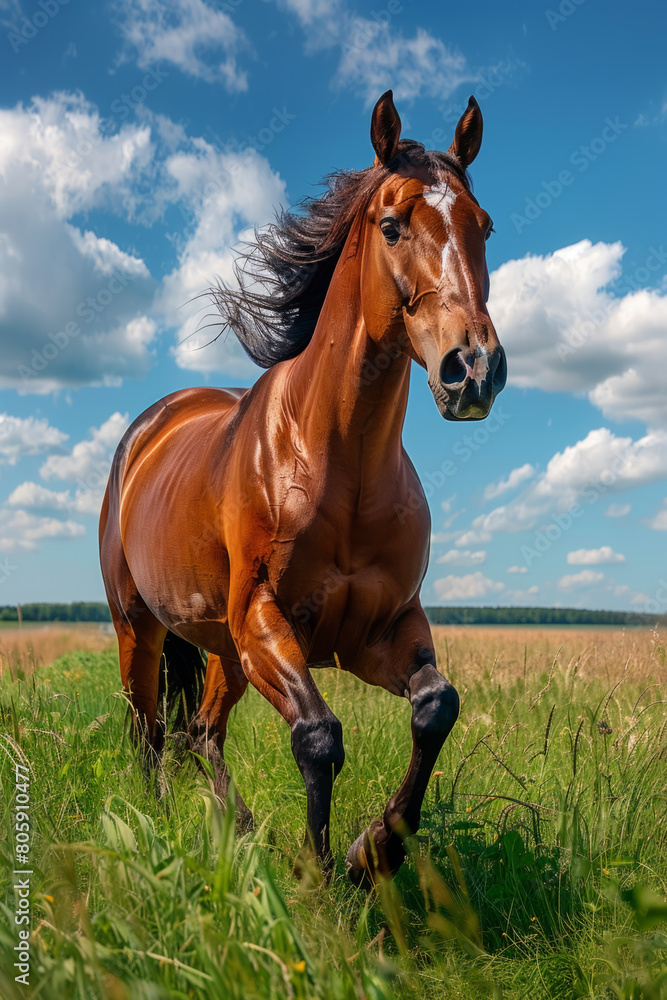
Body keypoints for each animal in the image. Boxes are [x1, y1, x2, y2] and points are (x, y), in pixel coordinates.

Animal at [99, 90, 506, 886]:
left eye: (484, 226)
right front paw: (322, 876)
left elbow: (436, 708)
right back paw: (161, 829)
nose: (472, 369)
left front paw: (373, 850)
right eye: (392, 224)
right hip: (143, 629)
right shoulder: (267, 621)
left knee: (201, 733)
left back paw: (239, 831)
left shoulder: (381, 631)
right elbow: (318, 737)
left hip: (222, 651)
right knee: (151, 734)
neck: (339, 466)